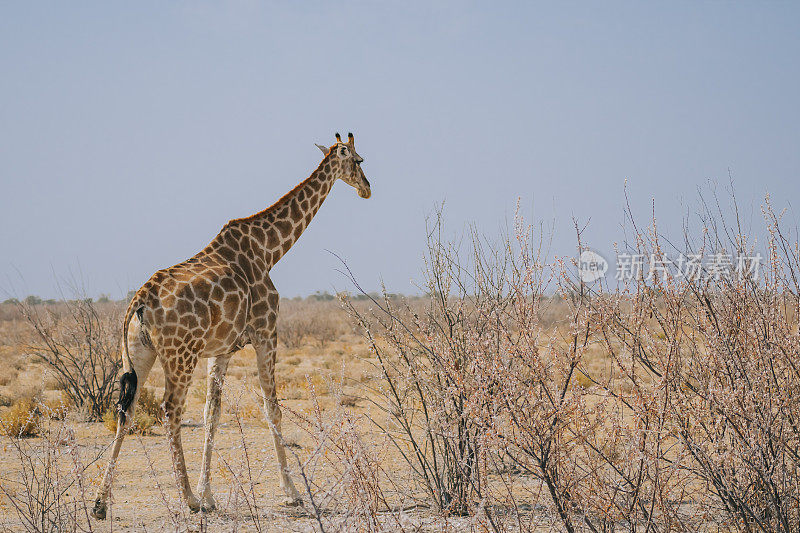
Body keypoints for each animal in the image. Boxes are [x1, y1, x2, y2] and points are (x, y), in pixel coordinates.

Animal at [92, 131, 374, 516]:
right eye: (359, 160)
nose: (367, 188)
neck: (269, 250)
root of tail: (140, 301)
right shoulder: (266, 332)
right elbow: (273, 409)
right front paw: (291, 492)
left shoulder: (221, 350)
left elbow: (212, 415)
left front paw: (210, 494)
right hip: (180, 357)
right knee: (169, 410)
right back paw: (187, 499)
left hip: (138, 353)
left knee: (127, 409)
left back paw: (100, 504)